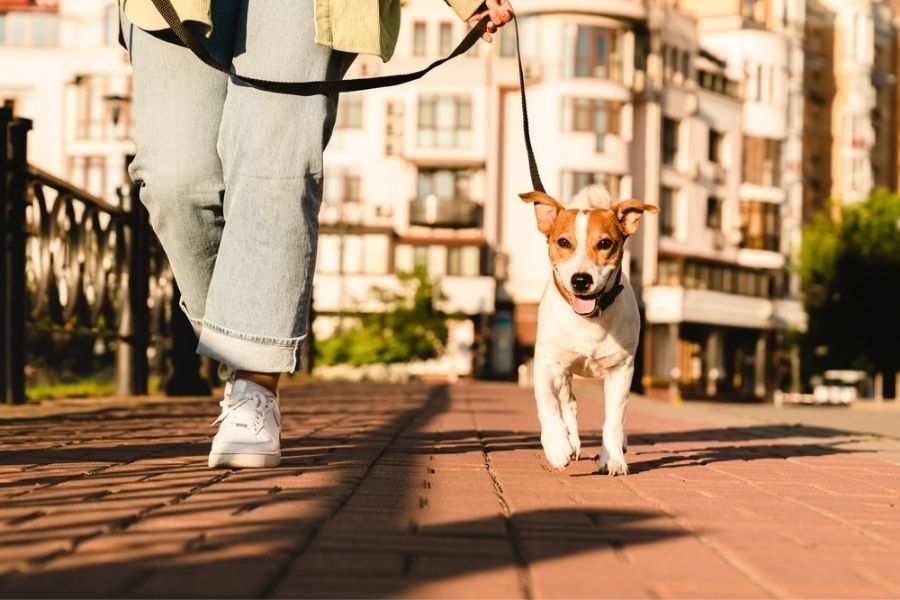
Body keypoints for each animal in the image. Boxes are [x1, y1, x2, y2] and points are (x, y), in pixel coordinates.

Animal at [516, 185, 656, 476]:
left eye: (604, 243)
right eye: (563, 242)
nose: (581, 280)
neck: (589, 318)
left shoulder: (621, 370)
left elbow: (614, 419)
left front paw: (612, 459)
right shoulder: (547, 365)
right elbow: (548, 404)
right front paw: (558, 446)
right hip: (564, 371)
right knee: (567, 402)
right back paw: (570, 441)